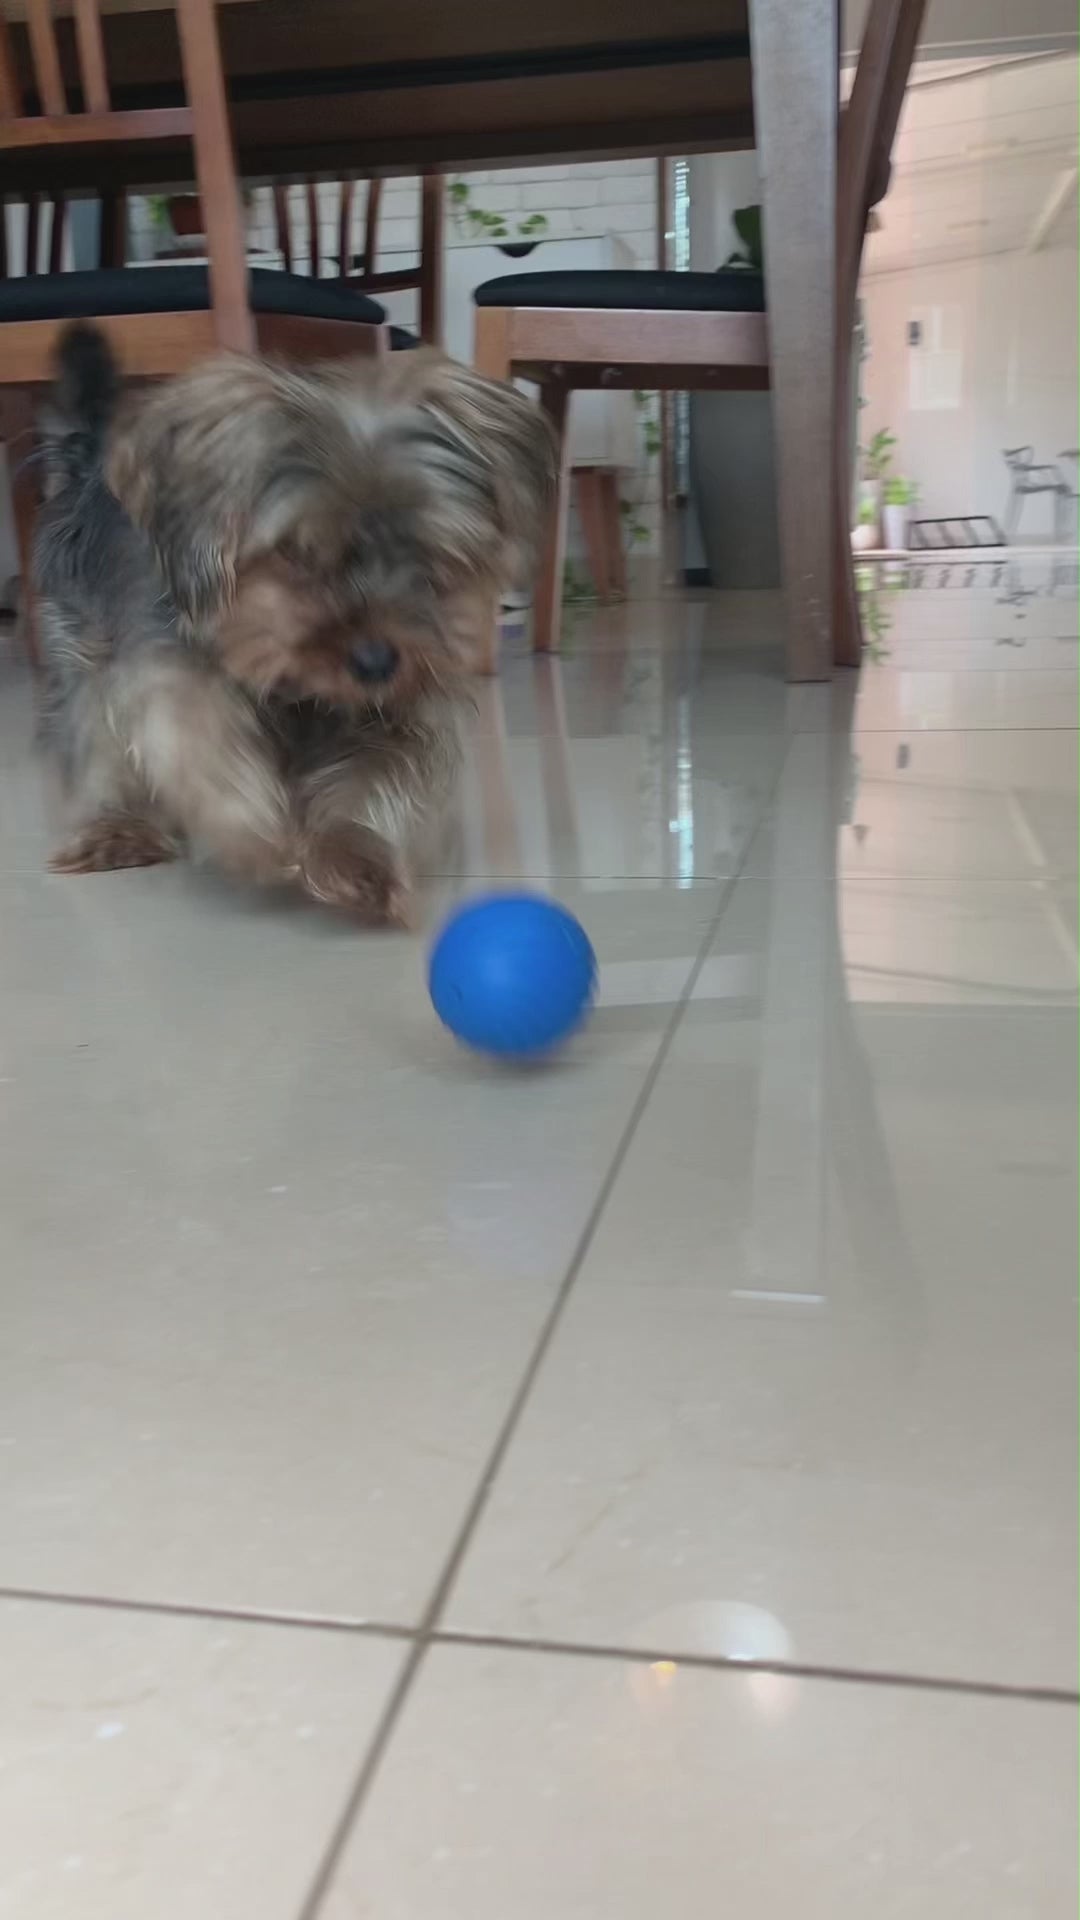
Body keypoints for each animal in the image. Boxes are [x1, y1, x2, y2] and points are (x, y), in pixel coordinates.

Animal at [34, 323, 555, 922]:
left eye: (428, 554)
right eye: (297, 553)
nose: (376, 662)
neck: (301, 691)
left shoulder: (400, 699)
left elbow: (380, 771)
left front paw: (356, 857)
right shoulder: (168, 664)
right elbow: (201, 733)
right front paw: (257, 833)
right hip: (80, 640)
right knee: (92, 730)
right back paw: (117, 830)